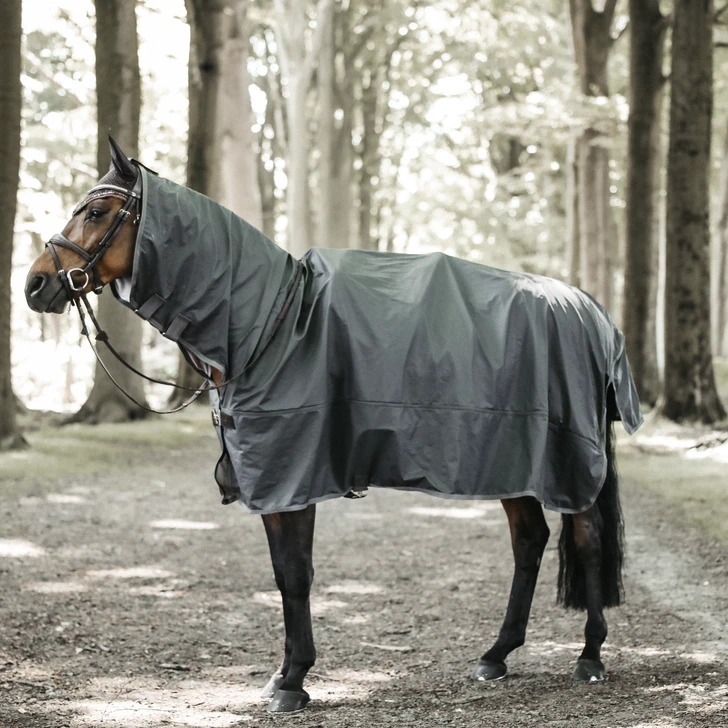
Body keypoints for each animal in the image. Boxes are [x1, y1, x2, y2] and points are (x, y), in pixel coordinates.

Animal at [25, 138, 642, 714]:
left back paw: (590, 656)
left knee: (585, 540)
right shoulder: (275, 482)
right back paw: (497, 655)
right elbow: (283, 574)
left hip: (565, 461)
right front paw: (283, 675)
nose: (34, 285)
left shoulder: (292, 476)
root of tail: (590, 312)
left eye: (96, 211)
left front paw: (293, 682)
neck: (268, 324)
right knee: (530, 541)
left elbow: (296, 575)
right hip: (513, 460)